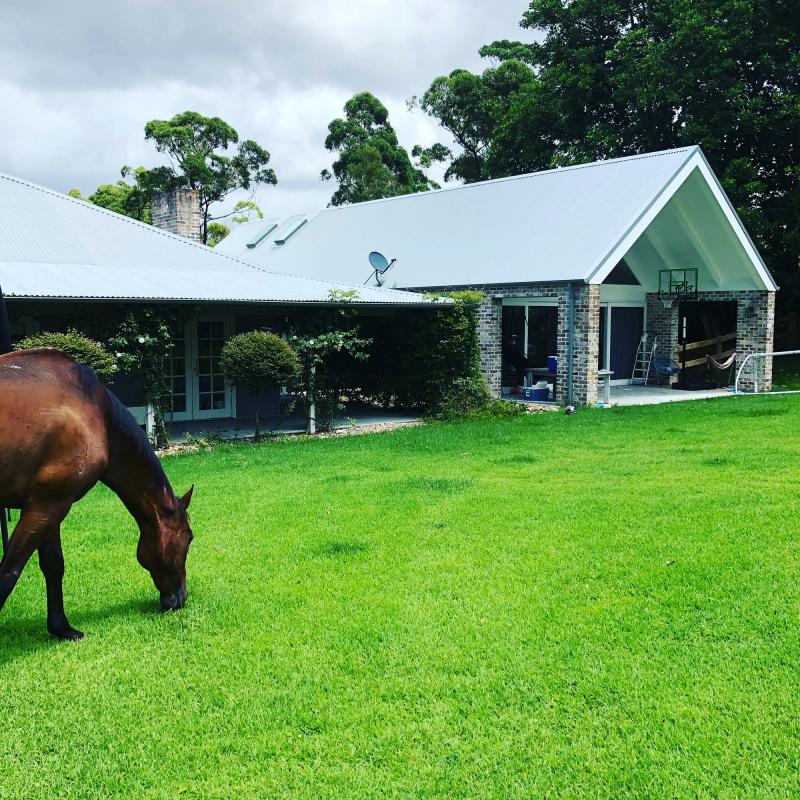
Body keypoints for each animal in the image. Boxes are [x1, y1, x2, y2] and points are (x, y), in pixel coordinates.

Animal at [0, 348, 193, 636]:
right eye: (190, 538)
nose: (180, 598)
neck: (93, 408)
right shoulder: (49, 504)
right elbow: (9, 570)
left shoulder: (46, 503)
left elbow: (53, 565)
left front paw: (62, 628)